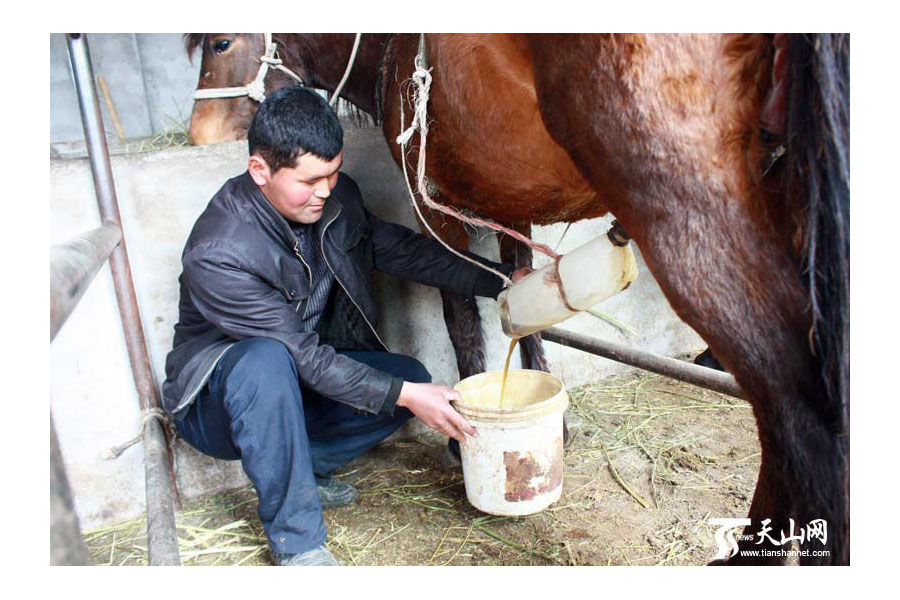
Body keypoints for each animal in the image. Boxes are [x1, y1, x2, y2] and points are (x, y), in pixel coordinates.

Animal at [186, 35, 848, 564]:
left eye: (218, 43)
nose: (198, 135)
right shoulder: (510, 206)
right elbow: (515, 303)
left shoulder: (434, 206)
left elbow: (459, 317)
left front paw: (457, 439)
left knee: (794, 420)